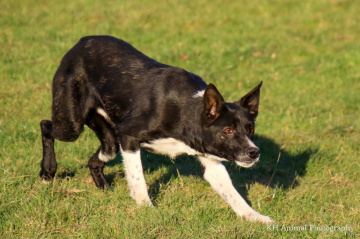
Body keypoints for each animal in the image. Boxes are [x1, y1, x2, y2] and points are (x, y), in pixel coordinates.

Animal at [40, 35, 272, 224]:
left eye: (251, 130)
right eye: (227, 130)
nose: (254, 152)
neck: (186, 111)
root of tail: (80, 42)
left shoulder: (211, 161)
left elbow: (233, 194)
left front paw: (256, 217)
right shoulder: (129, 136)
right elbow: (138, 179)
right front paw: (146, 209)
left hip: (109, 141)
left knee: (96, 159)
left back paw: (104, 188)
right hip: (71, 125)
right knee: (46, 126)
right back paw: (47, 173)